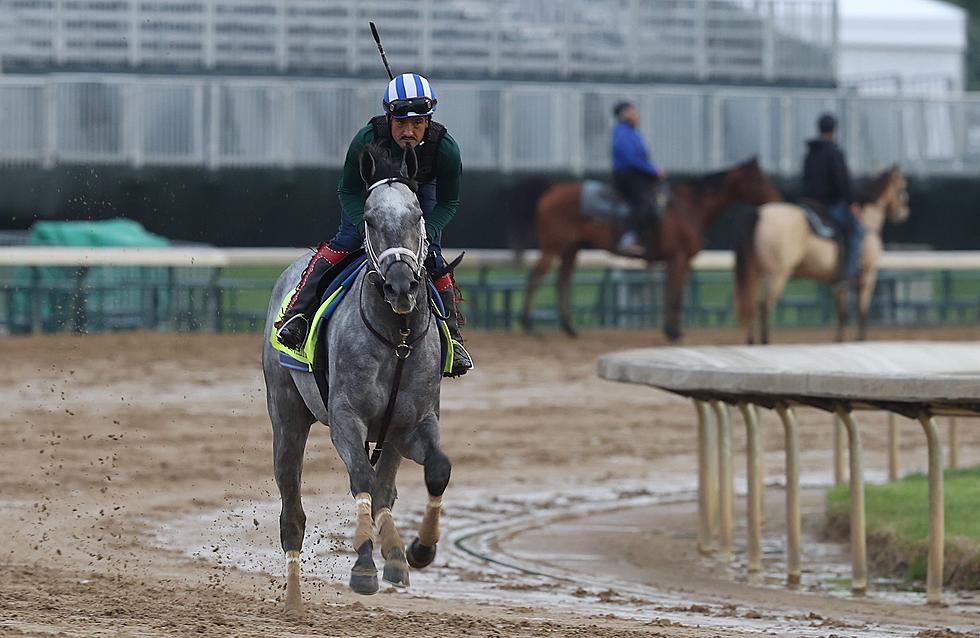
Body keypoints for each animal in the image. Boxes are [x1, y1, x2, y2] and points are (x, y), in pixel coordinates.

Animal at [264, 144, 456, 616]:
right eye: (368, 218)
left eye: (417, 214)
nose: (401, 286)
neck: (397, 338)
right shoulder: (347, 419)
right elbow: (362, 483)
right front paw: (364, 567)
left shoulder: (413, 422)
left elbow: (436, 469)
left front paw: (420, 549)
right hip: (287, 415)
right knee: (293, 512)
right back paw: (294, 596)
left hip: (388, 436)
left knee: (386, 488)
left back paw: (397, 557)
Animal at [520, 158, 780, 342]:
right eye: (759, 179)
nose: (777, 200)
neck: (689, 208)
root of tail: (553, 189)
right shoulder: (678, 258)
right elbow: (673, 295)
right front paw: (672, 333)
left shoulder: (681, 261)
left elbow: (675, 294)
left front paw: (674, 330)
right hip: (553, 247)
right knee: (535, 277)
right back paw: (528, 325)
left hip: (570, 249)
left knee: (561, 281)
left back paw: (570, 329)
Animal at [736, 165, 912, 344]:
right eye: (902, 186)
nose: (904, 213)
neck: (866, 223)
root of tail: (760, 213)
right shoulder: (867, 276)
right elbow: (862, 312)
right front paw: (860, 339)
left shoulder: (838, 283)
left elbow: (842, 314)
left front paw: (839, 341)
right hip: (777, 274)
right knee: (764, 305)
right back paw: (765, 342)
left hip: (757, 273)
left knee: (751, 303)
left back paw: (751, 341)